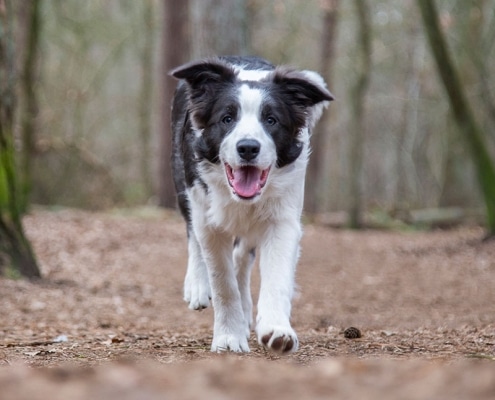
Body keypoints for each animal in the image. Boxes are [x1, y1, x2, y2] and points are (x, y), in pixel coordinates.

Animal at [170, 55, 334, 354]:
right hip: (183, 186)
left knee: (242, 256)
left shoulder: (283, 219)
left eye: (271, 120)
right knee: (193, 234)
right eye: (227, 118)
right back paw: (197, 286)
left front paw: (277, 330)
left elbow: (276, 277)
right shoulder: (207, 216)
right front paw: (228, 337)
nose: (248, 147)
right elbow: (222, 282)